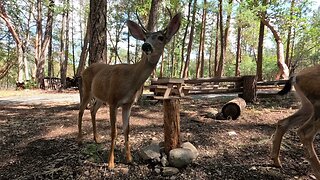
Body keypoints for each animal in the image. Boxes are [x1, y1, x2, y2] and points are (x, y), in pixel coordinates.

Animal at [76, 12, 181, 169]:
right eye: (145, 37)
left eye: (161, 37)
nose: (146, 45)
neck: (131, 80)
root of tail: (84, 70)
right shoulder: (113, 101)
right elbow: (114, 131)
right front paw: (111, 163)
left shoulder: (128, 104)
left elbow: (127, 129)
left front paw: (129, 159)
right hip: (87, 90)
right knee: (81, 111)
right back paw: (79, 140)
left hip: (100, 96)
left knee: (92, 110)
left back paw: (97, 138)